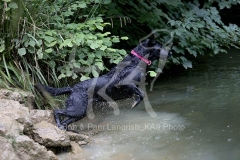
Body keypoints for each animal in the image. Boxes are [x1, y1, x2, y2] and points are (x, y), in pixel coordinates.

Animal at [35, 38, 171, 130]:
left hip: (80, 112)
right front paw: (135, 103)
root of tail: (73, 87)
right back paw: (58, 124)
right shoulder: (126, 84)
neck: (137, 61)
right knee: (56, 111)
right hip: (77, 108)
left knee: (66, 120)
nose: (170, 52)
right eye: (160, 46)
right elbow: (141, 94)